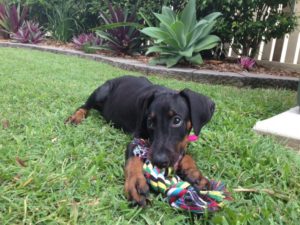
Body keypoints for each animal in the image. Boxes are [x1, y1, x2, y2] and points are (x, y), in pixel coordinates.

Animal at [66, 75, 216, 206]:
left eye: (177, 120)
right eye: (150, 121)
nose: (159, 161)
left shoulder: (181, 143)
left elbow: (185, 153)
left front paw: (194, 173)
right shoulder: (137, 137)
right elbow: (133, 155)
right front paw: (136, 182)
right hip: (101, 91)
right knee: (84, 106)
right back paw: (76, 117)